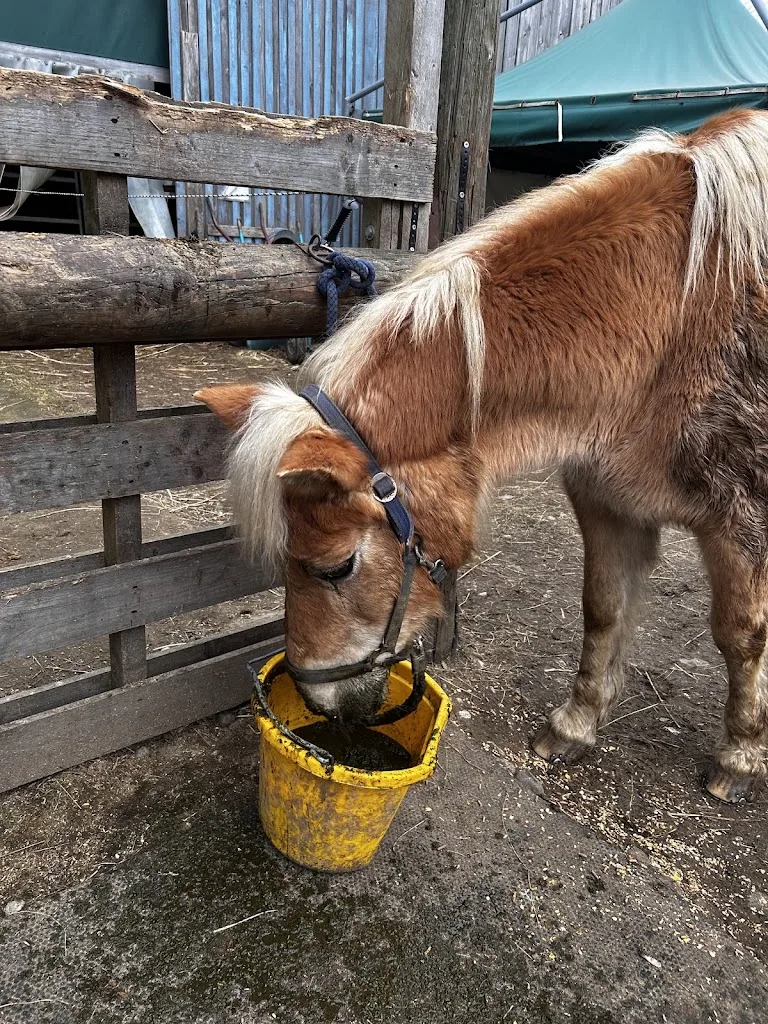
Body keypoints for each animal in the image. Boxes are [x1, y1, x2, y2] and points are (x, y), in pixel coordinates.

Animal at [197, 108, 768, 804]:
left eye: (337, 567)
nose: (314, 698)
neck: (674, 313)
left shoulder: (740, 521)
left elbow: (741, 635)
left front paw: (740, 756)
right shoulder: (609, 503)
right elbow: (603, 611)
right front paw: (575, 726)